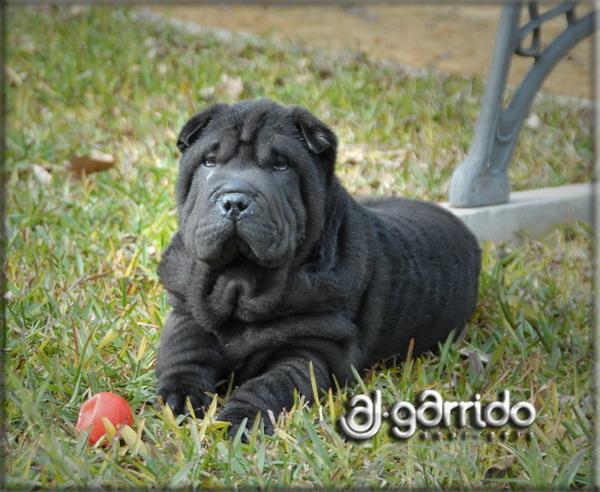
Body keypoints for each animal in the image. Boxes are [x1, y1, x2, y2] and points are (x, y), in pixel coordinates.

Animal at [156, 98, 482, 436]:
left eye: (280, 166)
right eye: (209, 162)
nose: (234, 201)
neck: (240, 280)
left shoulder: (312, 352)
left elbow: (270, 384)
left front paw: (241, 419)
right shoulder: (187, 313)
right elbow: (184, 354)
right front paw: (179, 399)